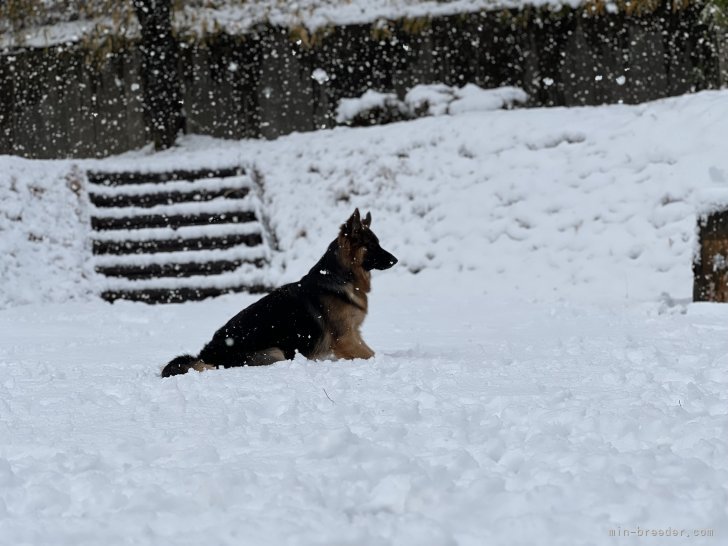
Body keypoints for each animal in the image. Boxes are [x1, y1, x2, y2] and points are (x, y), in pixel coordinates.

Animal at [161, 206, 398, 376]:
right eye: (372, 245)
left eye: (378, 243)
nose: (395, 260)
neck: (339, 276)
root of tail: (206, 353)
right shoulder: (346, 339)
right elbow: (372, 355)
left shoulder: (354, 335)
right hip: (276, 352)